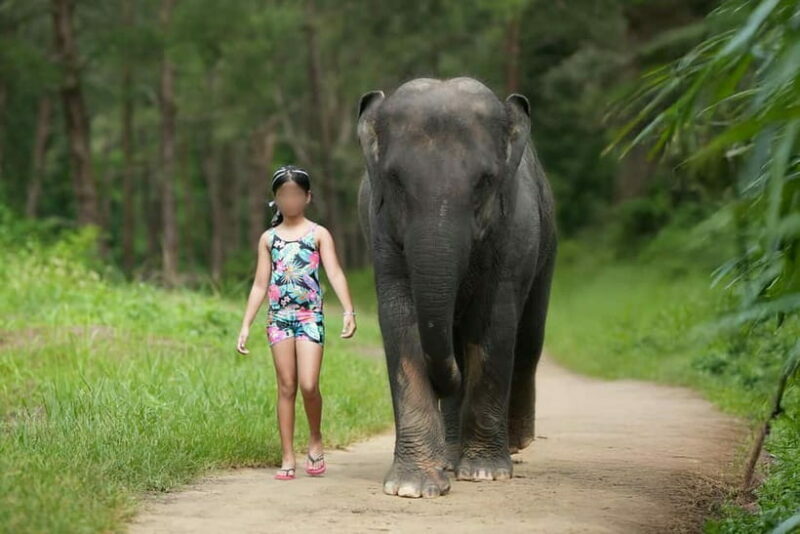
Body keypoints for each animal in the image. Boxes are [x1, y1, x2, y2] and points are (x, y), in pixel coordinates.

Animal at [355, 77, 557, 498]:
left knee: (529, 338)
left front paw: (485, 472)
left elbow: (495, 321)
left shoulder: (513, 229)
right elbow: (401, 320)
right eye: (395, 180)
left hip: (549, 246)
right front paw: (411, 486)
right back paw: (450, 454)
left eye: (485, 181)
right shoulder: (380, 231)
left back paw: (517, 442)